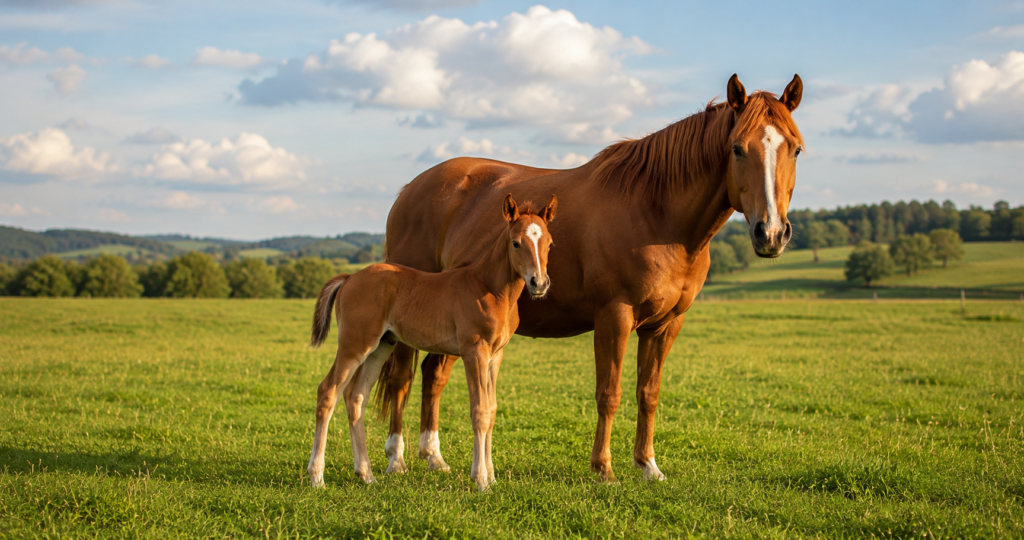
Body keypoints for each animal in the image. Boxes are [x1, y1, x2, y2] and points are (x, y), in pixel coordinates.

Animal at [306, 194, 557, 490]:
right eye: (516, 242)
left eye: (549, 243)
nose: (539, 283)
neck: (489, 287)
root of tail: (348, 278)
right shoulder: (474, 351)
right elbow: (480, 411)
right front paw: (481, 480)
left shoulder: (496, 355)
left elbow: (493, 410)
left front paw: (492, 476)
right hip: (355, 343)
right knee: (327, 393)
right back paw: (317, 477)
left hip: (380, 346)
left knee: (355, 397)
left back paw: (366, 474)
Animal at [375, 73, 804, 482]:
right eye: (737, 148)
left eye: (796, 149)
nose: (771, 233)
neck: (657, 214)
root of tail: (410, 190)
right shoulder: (614, 316)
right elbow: (609, 393)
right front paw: (604, 468)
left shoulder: (665, 325)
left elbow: (648, 393)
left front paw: (648, 465)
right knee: (401, 378)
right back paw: (396, 459)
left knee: (433, 375)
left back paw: (434, 457)